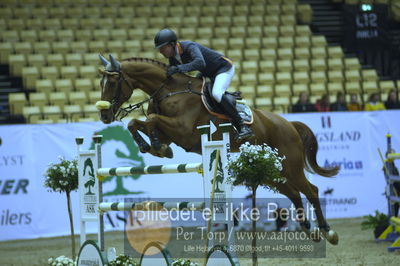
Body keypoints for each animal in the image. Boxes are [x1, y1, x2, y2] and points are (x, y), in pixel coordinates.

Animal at [95, 54, 340, 245]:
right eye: (101, 84)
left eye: (113, 83)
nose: (104, 115)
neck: (170, 91)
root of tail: (288, 123)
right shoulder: (170, 132)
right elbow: (137, 123)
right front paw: (155, 147)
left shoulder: (183, 131)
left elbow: (150, 119)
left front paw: (155, 146)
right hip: (271, 173)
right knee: (294, 193)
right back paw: (310, 231)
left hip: (290, 166)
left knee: (311, 191)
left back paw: (328, 232)